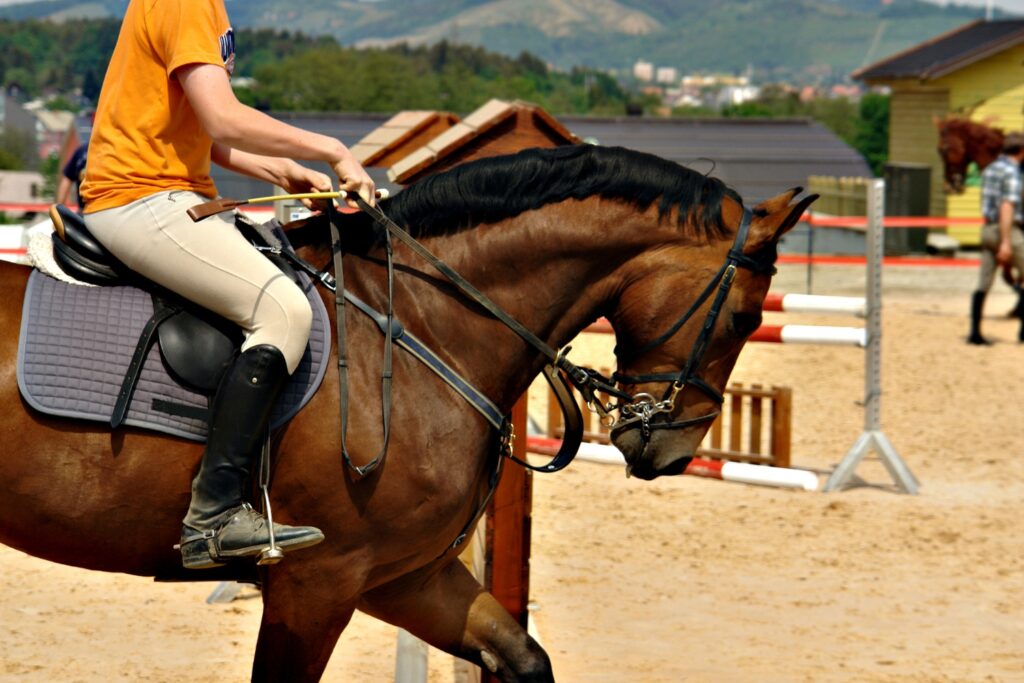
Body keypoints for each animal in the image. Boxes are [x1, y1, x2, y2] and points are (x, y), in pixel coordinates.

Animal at [0, 144, 814, 681]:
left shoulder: (405, 576)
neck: (424, 322)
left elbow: (524, 657)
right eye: (745, 316)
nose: (672, 449)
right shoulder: (317, 583)